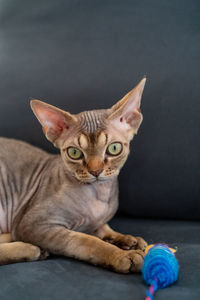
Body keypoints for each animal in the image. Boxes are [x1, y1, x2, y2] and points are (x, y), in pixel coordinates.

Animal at [0, 78, 147, 274]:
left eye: (114, 148)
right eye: (75, 153)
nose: (95, 171)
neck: (99, 193)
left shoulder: (96, 222)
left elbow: (103, 227)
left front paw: (127, 239)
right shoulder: (33, 225)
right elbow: (86, 241)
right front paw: (121, 255)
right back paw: (29, 249)